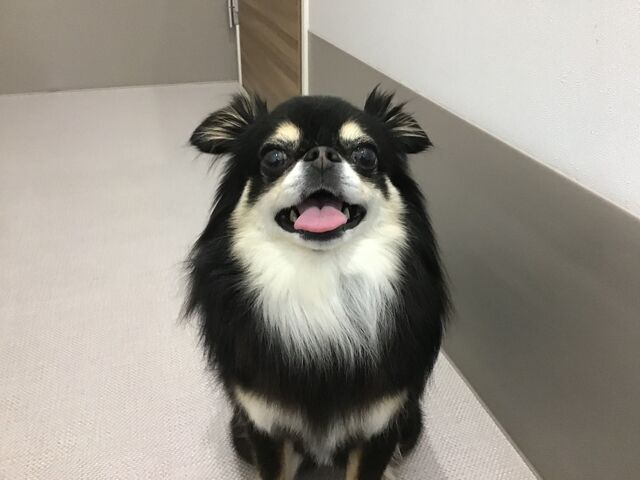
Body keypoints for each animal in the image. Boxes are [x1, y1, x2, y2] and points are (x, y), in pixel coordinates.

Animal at [185, 88, 448, 480]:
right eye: (274, 156)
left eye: (365, 155)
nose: (322, 154)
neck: (320, 280)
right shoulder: (264, 424)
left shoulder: (381, 424)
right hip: (238, 429)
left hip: (411, 421)